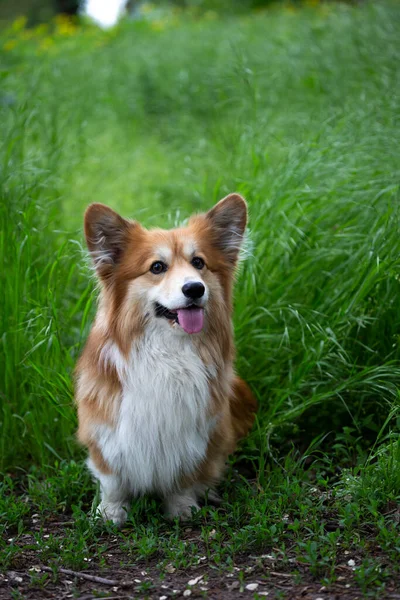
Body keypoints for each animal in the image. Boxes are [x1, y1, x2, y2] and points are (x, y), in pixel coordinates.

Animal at [75, 195, 256, 524]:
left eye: (199, 263)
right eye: (157, 267)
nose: (195, 288)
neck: (167, 352)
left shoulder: (194, 434)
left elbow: (183, 474)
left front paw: (182, 508)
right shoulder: (105, 431)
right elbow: (112, 479)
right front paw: (110, 513)